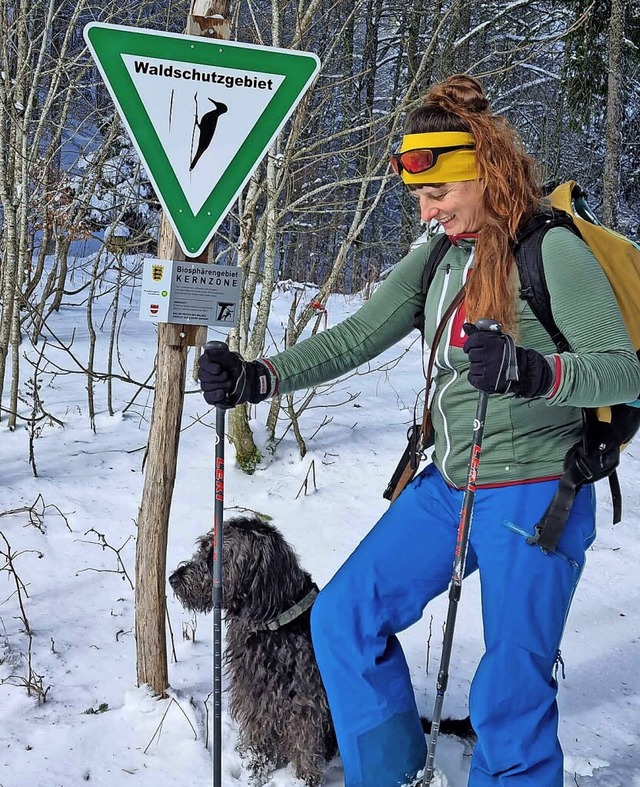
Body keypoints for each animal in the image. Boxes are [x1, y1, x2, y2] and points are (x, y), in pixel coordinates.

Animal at [168, 516, 472, 787]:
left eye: (215, 555)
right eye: (203, 547)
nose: (173, 578)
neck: (276, 621)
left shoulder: (307, 703)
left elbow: (304, 746)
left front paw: (302, 780)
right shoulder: (254, 694)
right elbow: (259, 737)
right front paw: (254, 768)